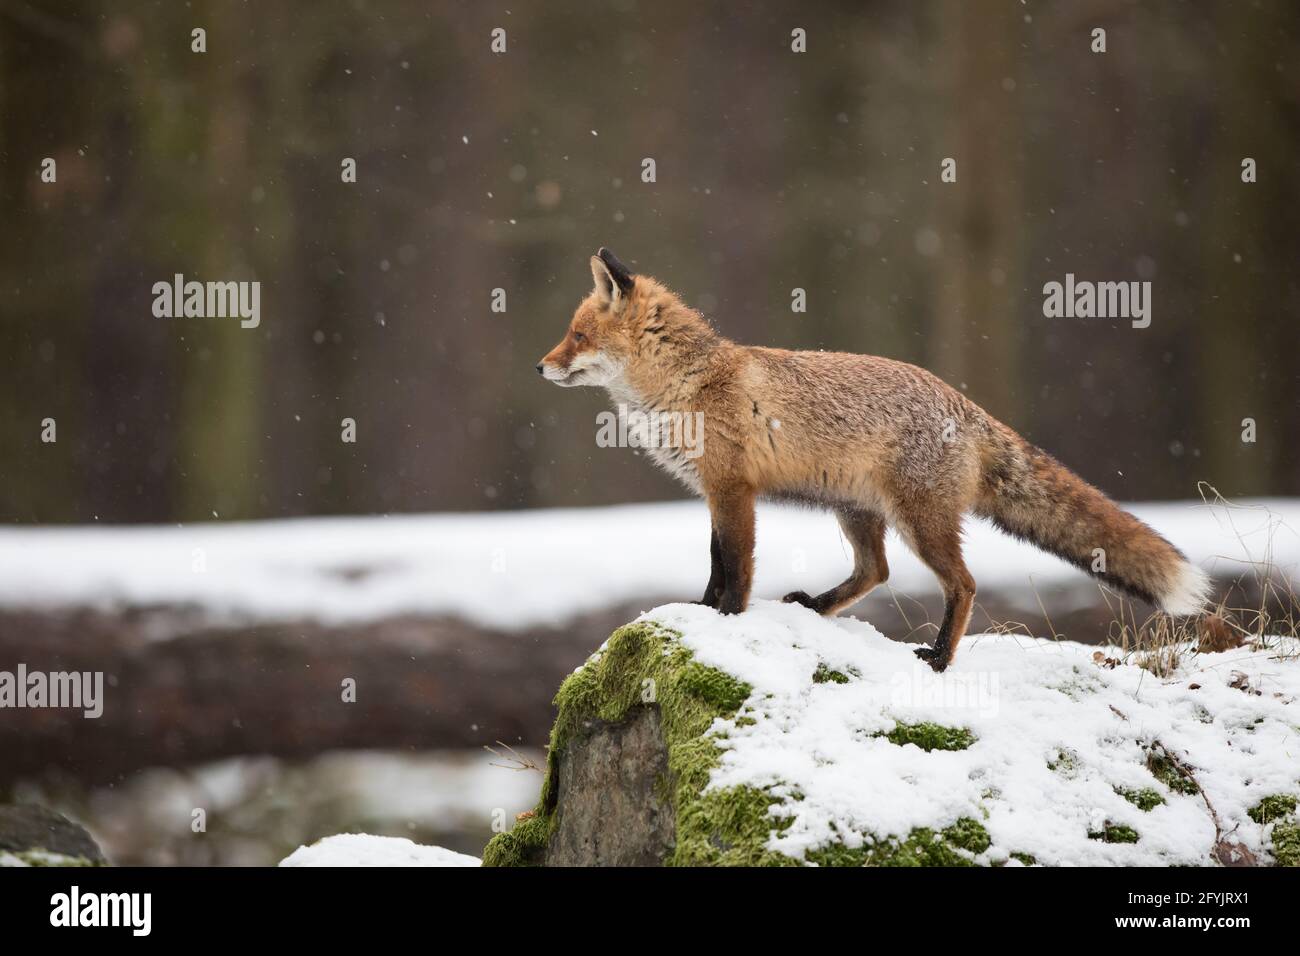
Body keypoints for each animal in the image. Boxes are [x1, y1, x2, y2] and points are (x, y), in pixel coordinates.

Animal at [535, 252, 1206, 671]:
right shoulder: (714, 491)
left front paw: (725, 618)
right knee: (876, 572)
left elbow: (736, 566)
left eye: (576, 337)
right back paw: (817, 608)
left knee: (962, 584)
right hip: (856, 511)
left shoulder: (733, 489)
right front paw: (700, 613)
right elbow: (713, 560)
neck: (686, 384)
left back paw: (940, 657)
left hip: (918, 522)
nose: (539, 368)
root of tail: (967, 405)